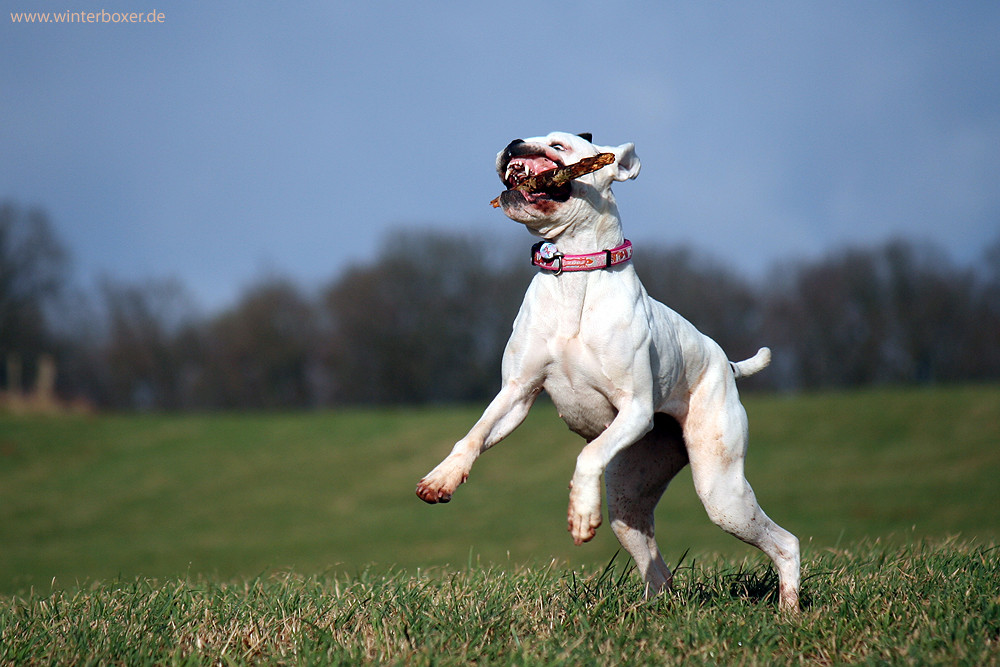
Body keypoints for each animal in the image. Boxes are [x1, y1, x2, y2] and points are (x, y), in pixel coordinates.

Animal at [412, 130, 796, 612]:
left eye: (559, 145)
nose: (514, 144)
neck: (574, 274)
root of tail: (725, 362)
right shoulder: (516, 392)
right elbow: (475, 434)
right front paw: (442, 478)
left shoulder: (634, 410)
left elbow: (588, 454)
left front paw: (580, 512)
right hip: (631, 500)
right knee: (656, 567)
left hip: (721, 492)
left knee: (785, 542)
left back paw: (790, 610)